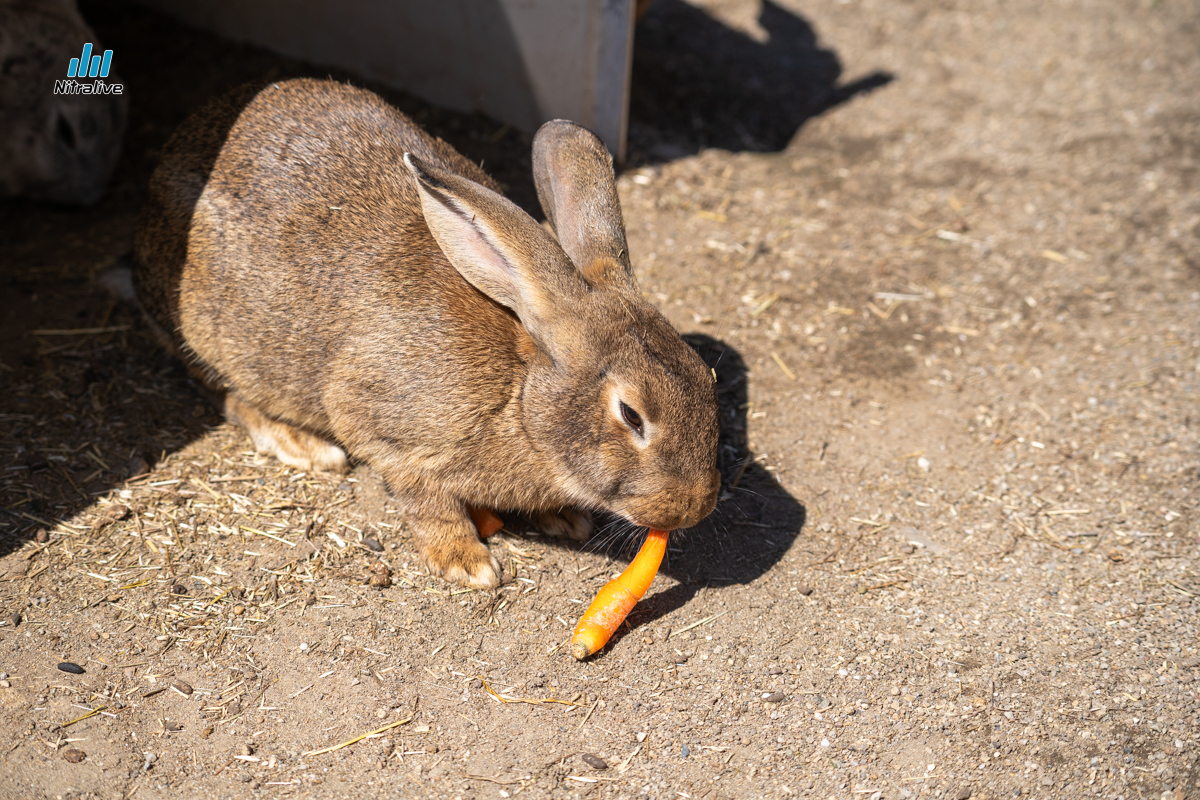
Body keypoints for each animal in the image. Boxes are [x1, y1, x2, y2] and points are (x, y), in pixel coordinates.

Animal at [138, 79, 720, 587]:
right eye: (631, 415)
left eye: (707, 377)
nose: (695, 506)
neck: (519, 394)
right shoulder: (389, 432)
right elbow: (426, 501)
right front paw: (468, 563)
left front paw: (561, 518)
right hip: (220, 339)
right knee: (228, 395)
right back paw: (301, 445)